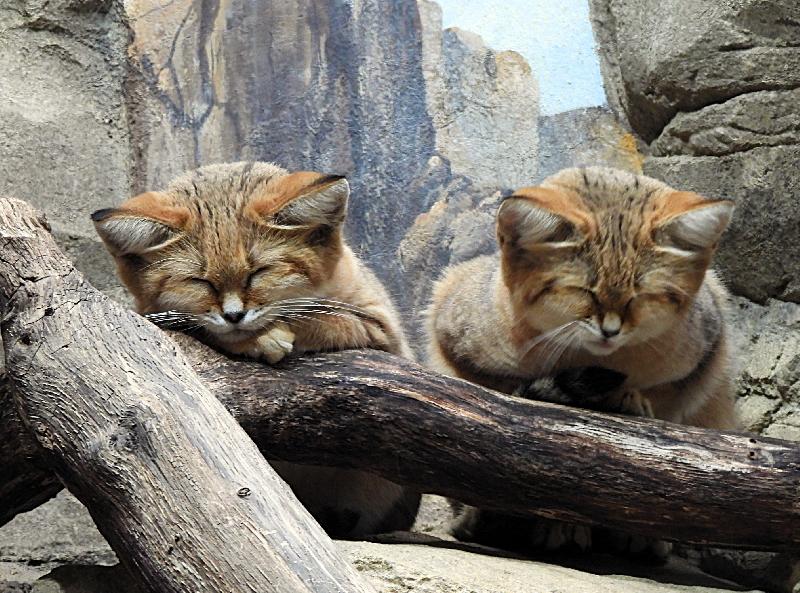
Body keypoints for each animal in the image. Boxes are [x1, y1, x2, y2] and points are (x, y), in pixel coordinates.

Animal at [92, 161, 420, 538]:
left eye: (258, 272)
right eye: (199, 282)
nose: (234, 315)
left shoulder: (382, 330)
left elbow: (321, 317)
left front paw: (269, 334)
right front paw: (256, 337)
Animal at [426, 166, 738, 557]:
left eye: (640, 297)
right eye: (582, 292)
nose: (611, 331)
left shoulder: (702, 358)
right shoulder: (454, 339)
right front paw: (561, 525)